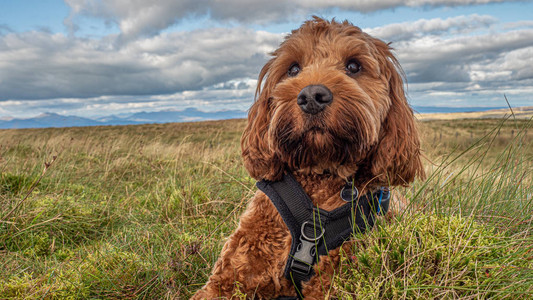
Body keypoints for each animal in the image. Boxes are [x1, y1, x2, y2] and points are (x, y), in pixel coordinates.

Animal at [193, 17, 422, 300]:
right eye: (293, 68)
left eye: (354, 66)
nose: (312, 96)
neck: (319, 174)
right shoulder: (227, 278)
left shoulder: (335, 281)